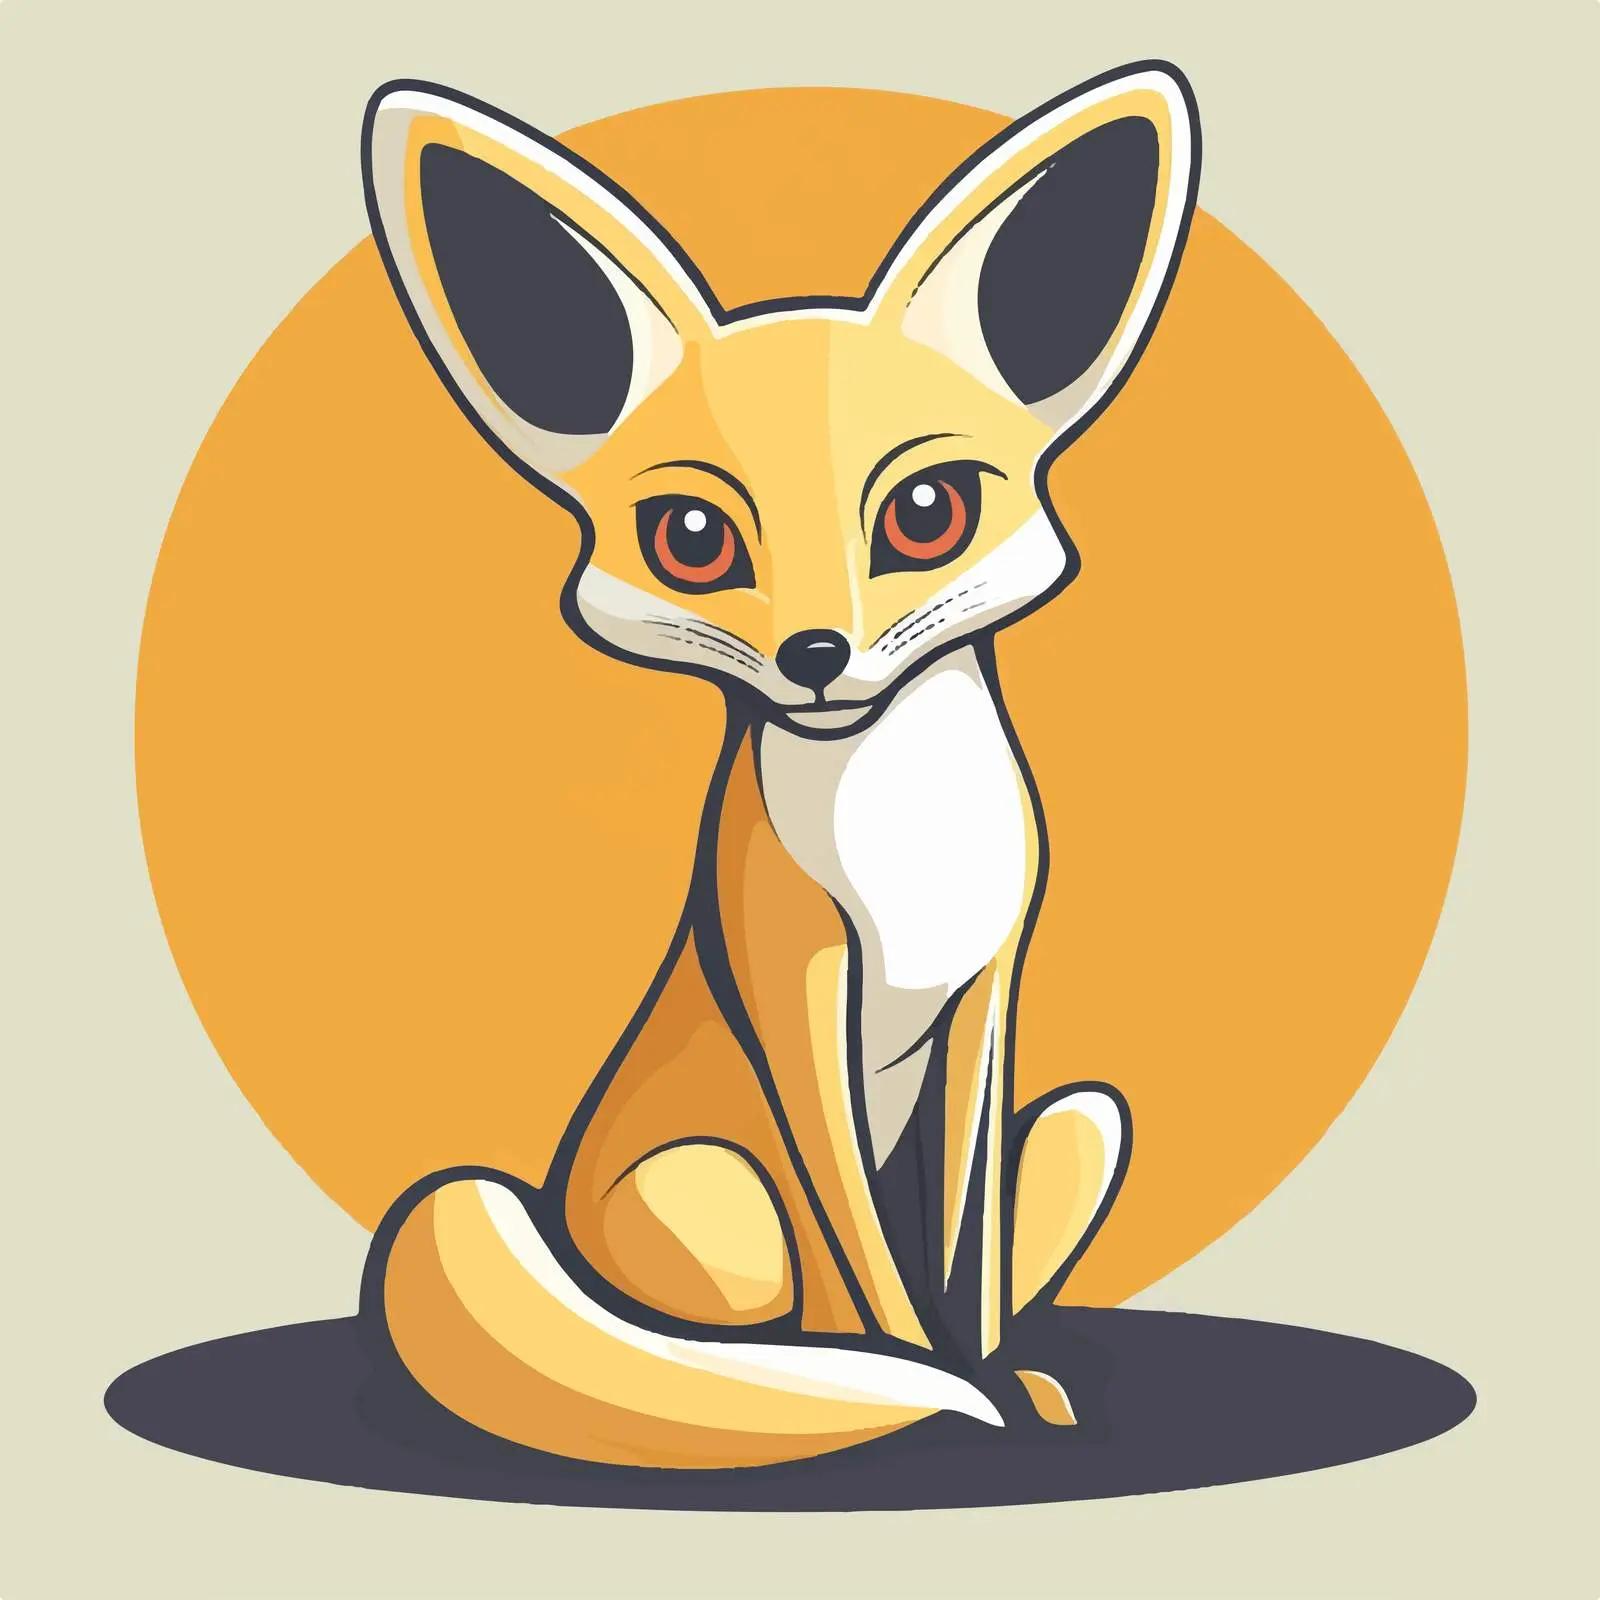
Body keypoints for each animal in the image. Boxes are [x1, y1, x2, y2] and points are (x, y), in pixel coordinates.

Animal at [357, 62, 1199, 1469]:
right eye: (692, 536)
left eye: (926, 514)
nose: (815, 655)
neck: (905, 840)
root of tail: (556, 1211)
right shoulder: (793, 983)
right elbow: (863, 1259)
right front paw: (913, 1382)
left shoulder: (988, 998)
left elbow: (962, 1258)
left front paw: (993, 1377)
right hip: (717, 1190)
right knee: (744, 1314)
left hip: (1084, 1119)